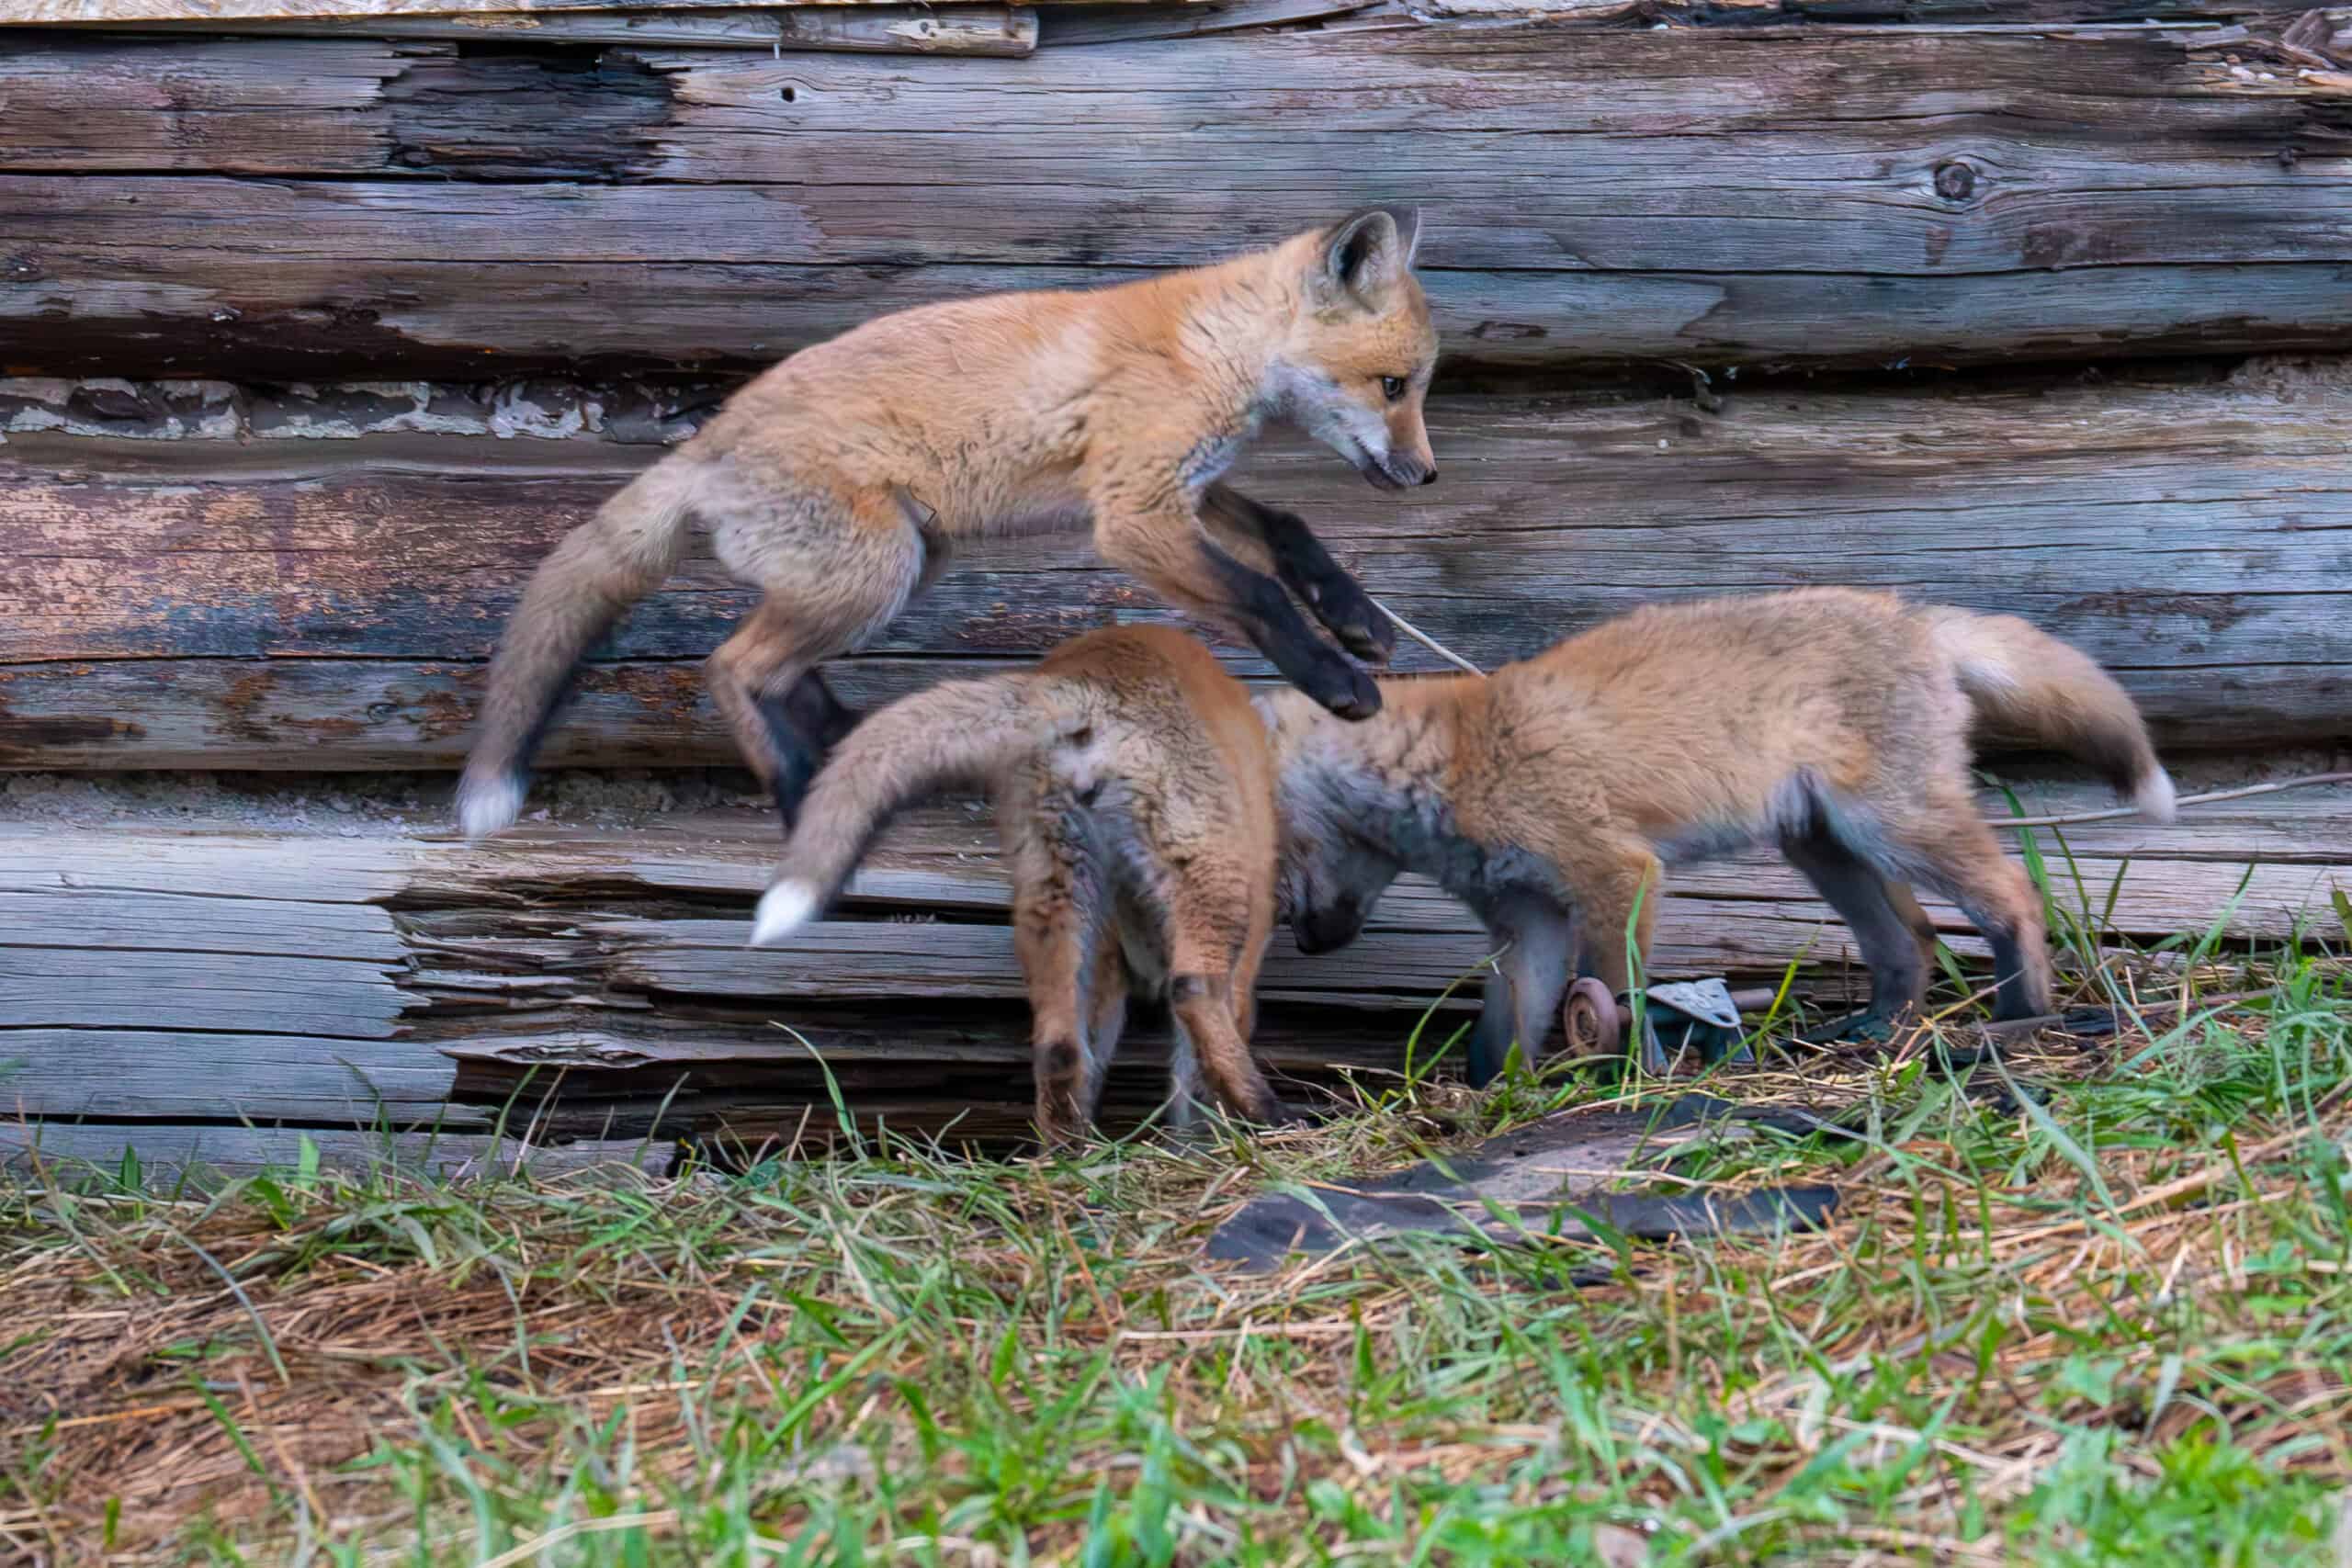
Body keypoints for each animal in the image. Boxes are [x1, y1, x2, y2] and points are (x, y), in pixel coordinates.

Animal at [454, 208, 1440, 841]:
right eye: (1394, 385)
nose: (1428, 475)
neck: (1213, 349)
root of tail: (710, 437)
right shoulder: (1133, 516)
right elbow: (1260, 595)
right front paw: (1338, 679)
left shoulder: (1175, 490)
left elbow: (1288, 530)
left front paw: (1357, 619)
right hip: (877, 568)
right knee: (732, 666)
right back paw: (797, 793)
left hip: (895, 567)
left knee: (785, 674)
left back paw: (846, 760)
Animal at [741, 624, 1289, 1144]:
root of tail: (1088, 673)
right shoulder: (1239, 952)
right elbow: (1198, 1079)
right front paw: (1215, 1148)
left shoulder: (1109, 965)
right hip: (1206, 880)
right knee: (1191, 994)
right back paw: (1270, 1111)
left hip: (1056, 898)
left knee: (1059, 1049)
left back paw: (1069, 1164)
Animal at [1257, 588, 2177, 1084]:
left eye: (1280, 867)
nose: (1304, 945)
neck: (1454, 760)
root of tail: (1911, 617)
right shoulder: (1529, 920)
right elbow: (1501, 1032)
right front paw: (1495, 1099)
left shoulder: (1616, 873)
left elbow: (1613, 990)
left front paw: (1624, 1078)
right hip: (1827, 848)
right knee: (1911, 940)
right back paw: (1883, 1031)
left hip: (1893, 825)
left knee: (2014, 896)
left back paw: (2022, 1018)